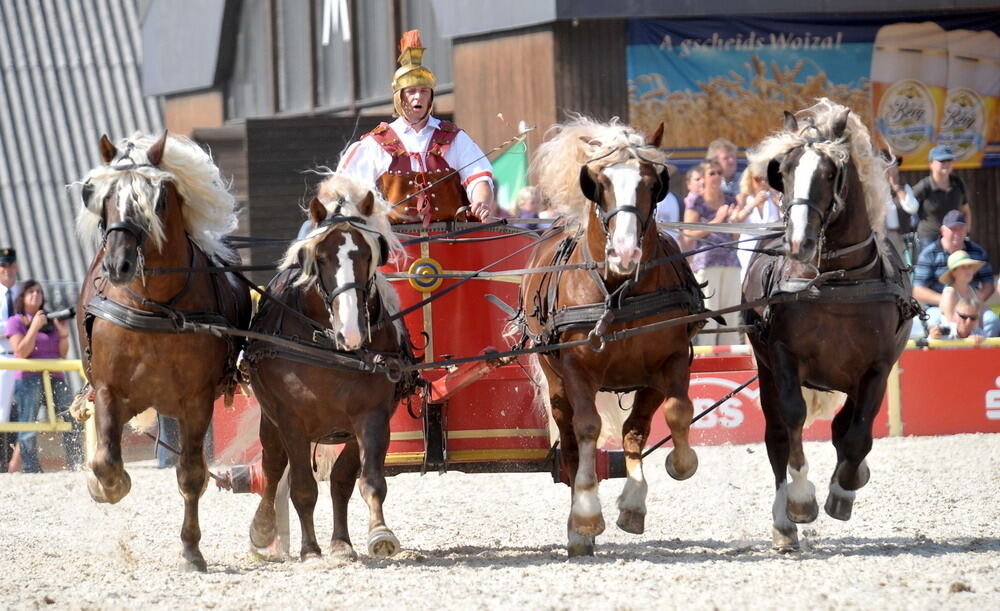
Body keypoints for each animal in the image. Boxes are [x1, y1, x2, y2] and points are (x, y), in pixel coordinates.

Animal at [75, 131, 252, 572]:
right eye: (102, 196)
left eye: (156, 200)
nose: (118, 264)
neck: (155, 305)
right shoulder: (110, 391)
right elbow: (106, 460)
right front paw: (108, 486)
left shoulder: (197, 401)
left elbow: (191, 473)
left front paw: (191, 549)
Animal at [242, 172, 414, 564]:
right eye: (320, 257)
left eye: (370, 253)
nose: (351, 330)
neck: (331, 349)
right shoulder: (291, 419)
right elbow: (303, 488)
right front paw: (310, 551)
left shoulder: (372, 416)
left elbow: (365, 481)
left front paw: (375, 535)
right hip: (270, 421)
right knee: (272, 468)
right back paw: (264, 529)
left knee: (337, 481)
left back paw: (340, 542)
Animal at [520, 117, 708, 556]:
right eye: (599, 182)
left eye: (653, 182)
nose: (624, 252)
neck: (617, 290)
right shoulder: (576, 369)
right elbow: (588, 429)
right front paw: (587, 515)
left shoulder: (669, 361)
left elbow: (671, 415)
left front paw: (653, 487)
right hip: (555, 383)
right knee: (570, 442)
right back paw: (577, 527)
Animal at [744, 99, 916, 548]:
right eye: (784, 171)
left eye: (828, 173)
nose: (797, 242)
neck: (836, 280)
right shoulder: (783, 357)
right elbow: (793, 420)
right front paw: (802, 500)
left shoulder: (876, 369)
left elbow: (856, 435)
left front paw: (844, 490)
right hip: (766, 370)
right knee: (776, 437)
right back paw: (783, 523)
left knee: (845, 427)